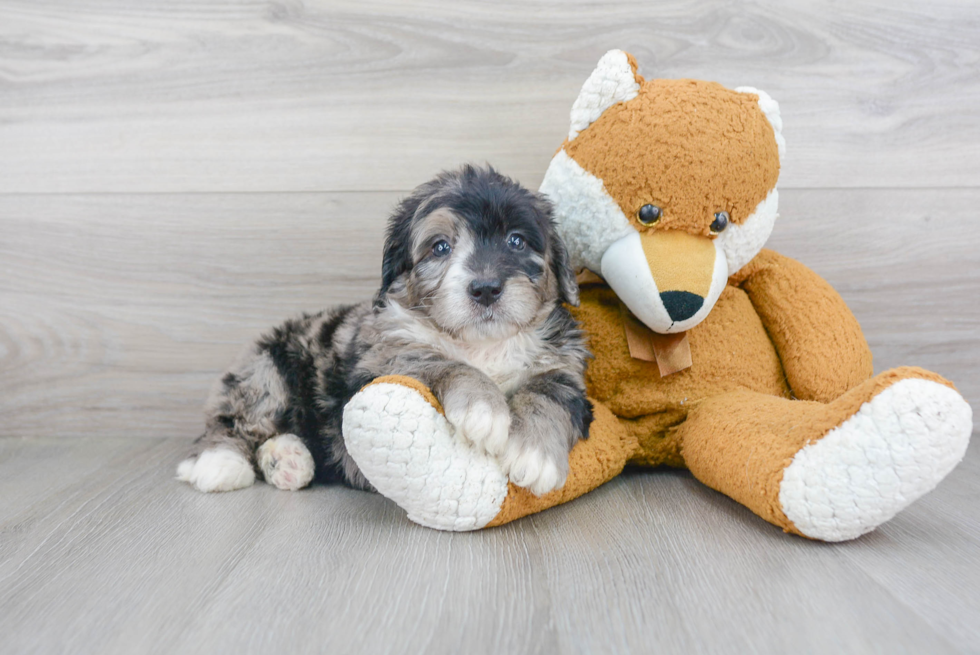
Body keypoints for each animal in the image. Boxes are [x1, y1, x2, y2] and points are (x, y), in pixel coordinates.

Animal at [175, 164, 588, 498]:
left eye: (516, 240)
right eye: (440, 247)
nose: (486, 288)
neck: (481, 346)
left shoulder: (564, 367)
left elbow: (549, 392)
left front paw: (535, 454)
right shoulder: (382, 358)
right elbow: (437, 361)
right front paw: (483, 408)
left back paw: (289, 462)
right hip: (265, 373)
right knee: (230, 422)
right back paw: (220, 464)